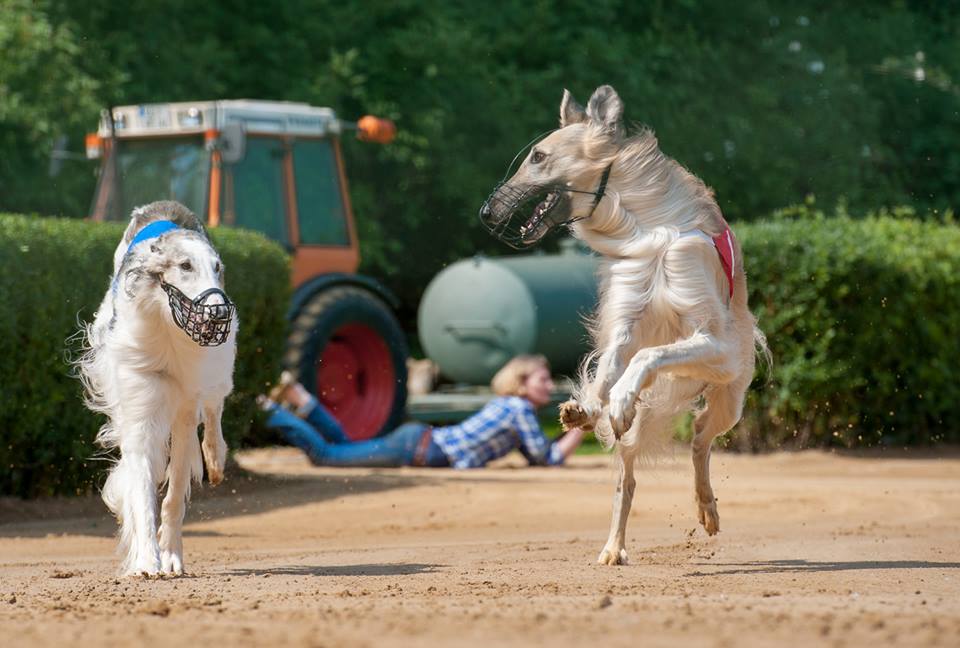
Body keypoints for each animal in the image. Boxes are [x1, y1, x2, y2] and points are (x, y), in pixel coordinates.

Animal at [77, 200, 238, 576]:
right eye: (185, 265)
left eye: (217, 267)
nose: (219, 312)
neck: (169, 328)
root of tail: (163, 205)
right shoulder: (141, 400)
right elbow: (141, 486)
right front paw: (147, 560)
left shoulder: (185, 407)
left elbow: (175, 492)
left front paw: (171, 556)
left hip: (216, 369)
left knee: (214, 408)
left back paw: (216, 457)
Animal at [484, 85, 768, 560]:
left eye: (538, 156)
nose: (486, 212)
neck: (649, 232)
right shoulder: (626, 322)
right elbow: (612, 365)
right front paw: (588, 407)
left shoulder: (717, 344)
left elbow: (648, 356)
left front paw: (619, 399)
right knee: (627, 478)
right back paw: (613, 547)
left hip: (730, 395)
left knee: (699, 438)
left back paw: (706, 506)